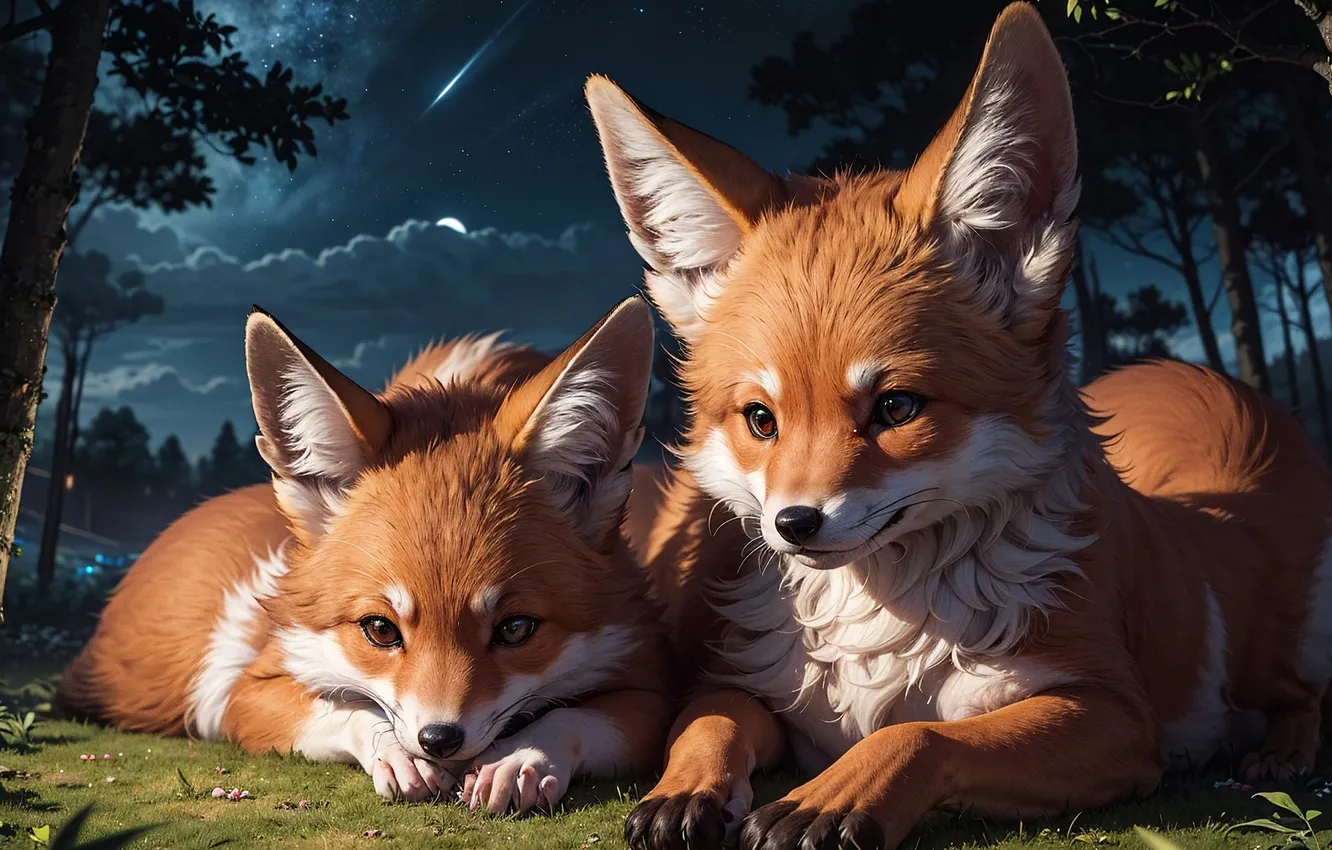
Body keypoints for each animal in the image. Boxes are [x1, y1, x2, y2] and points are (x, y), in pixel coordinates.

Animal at [54, 297, 674, 815]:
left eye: (515, 628)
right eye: (379, 629)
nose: (439, 740)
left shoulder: (649, 682)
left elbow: (572, 715)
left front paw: (520, 758)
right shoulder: (241, 692)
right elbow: (346, 711)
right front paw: (392, 751)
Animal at [582, 4, 1332, 850]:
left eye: (896, 407)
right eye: (760, 419)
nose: (795, 524)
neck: (876, 646)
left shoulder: (1113, 714)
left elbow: (920, 735)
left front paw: (830, 798)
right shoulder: (754, 685)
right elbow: (706, 726)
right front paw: (685, 791)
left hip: (1278, 649)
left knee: (1302, 693)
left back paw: (1281, 752)